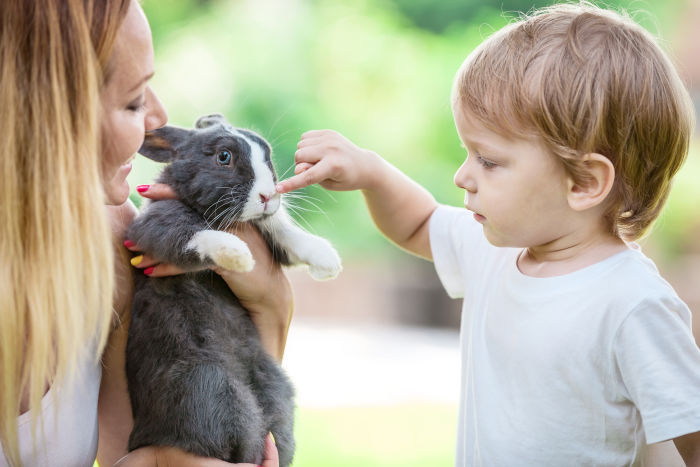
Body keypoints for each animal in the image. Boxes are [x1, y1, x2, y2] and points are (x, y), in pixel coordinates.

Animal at [126, 114, 344, 467]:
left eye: (267, 154)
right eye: (223, 157)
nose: (268, 196)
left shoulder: (269, 232)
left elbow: (281, 229)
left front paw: (327, 261)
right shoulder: (153, 227)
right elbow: (194, 234)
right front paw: (239, 256)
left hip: (275, 388)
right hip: (210, 386)